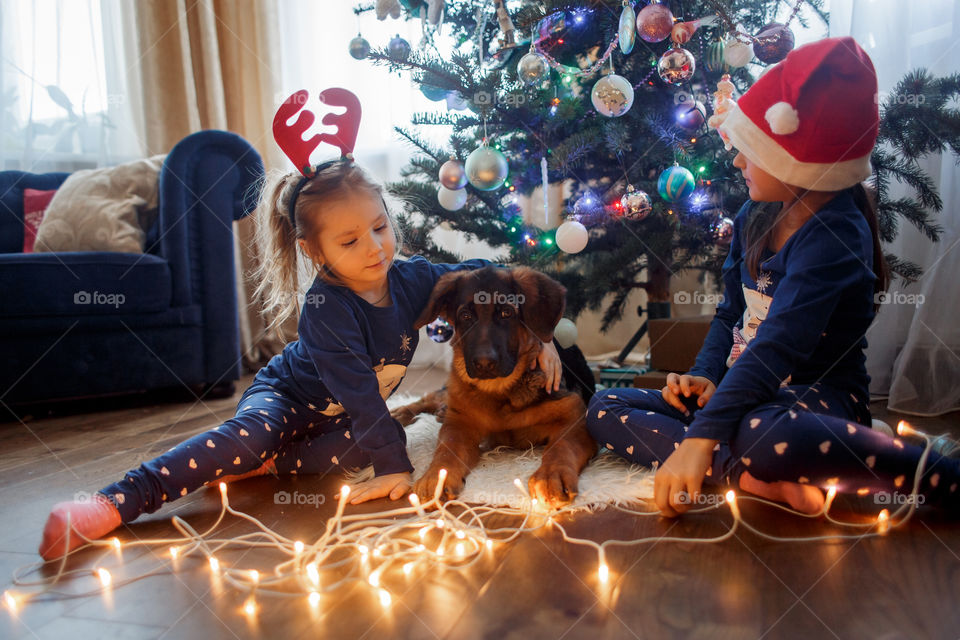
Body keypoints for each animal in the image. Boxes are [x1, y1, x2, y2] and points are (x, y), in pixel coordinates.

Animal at [408, 264, 596, 510]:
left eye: (507, 313)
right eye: (466, 316)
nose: (484, 364)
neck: (501, 393)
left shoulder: (576, 415)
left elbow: (562, 446)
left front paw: (551, 476)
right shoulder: (459, 424)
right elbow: (446, 449)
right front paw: (435, 478)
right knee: (425, 399)